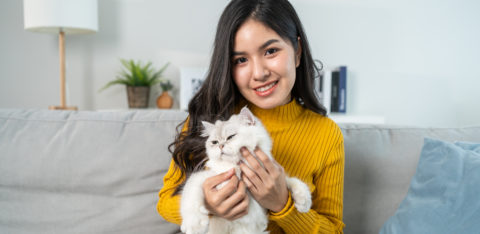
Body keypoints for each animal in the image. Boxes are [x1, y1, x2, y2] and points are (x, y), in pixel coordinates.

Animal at [180, 107, 312, 234]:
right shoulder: (204, 178)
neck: (239, 166)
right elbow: (190, 195)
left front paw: (304, 203)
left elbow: (292, 182)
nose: (220, 146)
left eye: (231, 137)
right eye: (215, 142)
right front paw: (194, 226)